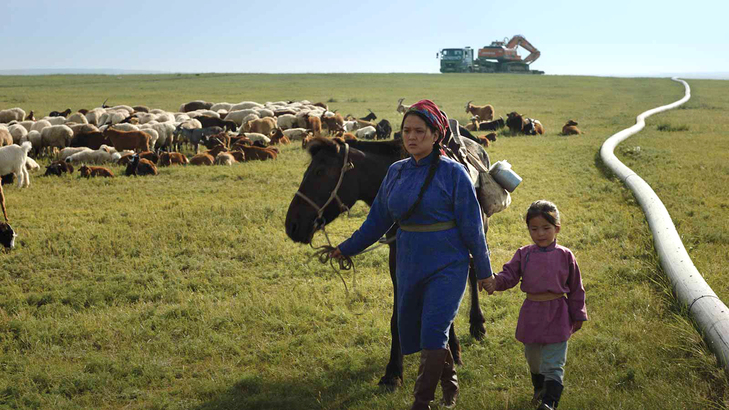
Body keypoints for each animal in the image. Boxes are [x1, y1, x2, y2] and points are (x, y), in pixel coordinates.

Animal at [282, 136, 490, 390]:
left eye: (320, 171)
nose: (292, 224)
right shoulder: (397, 257)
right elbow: (402, 316)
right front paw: (393, 372)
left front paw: (453, 350)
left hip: (478, 230)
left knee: (474, 271)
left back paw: (477, 324)